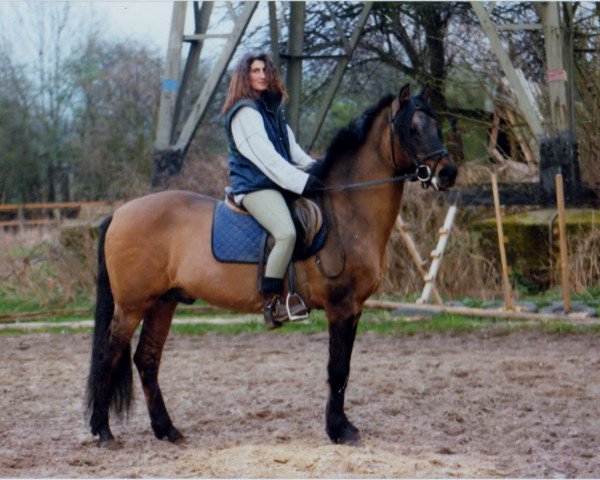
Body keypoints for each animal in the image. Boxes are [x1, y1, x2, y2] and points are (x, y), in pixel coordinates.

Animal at [86, 83, 458, 450]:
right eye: (412, 128)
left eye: (436, 125)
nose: (448, 172)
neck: (346, 212)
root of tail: (118, 213)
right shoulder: (341, 306)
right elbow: (337, 368)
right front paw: (339, 430)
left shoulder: (355, 309)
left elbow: (344, 368)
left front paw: (342, 426)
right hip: (132, 306)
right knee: (109, 355)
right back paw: (103, 431)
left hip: (163, 303)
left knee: (146, 360)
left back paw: (167, 430)